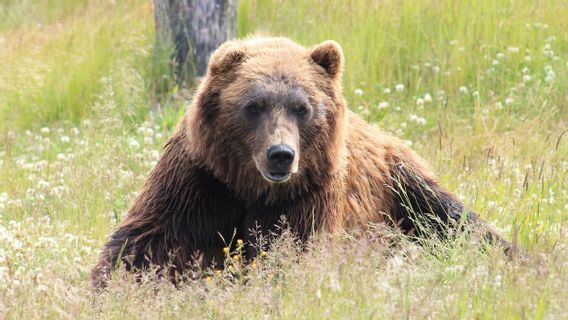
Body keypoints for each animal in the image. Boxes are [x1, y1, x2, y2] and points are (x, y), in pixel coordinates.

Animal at [91, 38, 512, 290]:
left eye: (302, 107)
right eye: (254, 105)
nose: (281, 154)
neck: (251, 188)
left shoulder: (308, 194)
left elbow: (290, 253)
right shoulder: (200, 181)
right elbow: (145, 242)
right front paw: (108, 288)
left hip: (401, 185)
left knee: (455, 221)